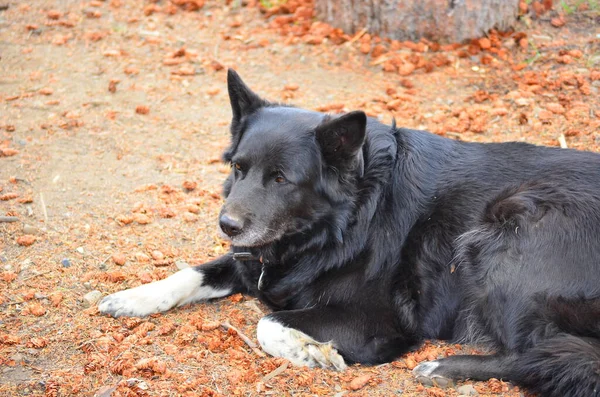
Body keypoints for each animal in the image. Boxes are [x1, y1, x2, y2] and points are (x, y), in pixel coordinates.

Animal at [99, 69, 600, 394]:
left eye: (281, 179)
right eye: (238, 168)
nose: (227, 224)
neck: (346, 221)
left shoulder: (378, 321)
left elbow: (267, 321)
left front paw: (310, 351)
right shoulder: (252, 257)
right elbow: (192, 272)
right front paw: (133, 297)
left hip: (506, 229)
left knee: (544, 353)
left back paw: (444, 366)